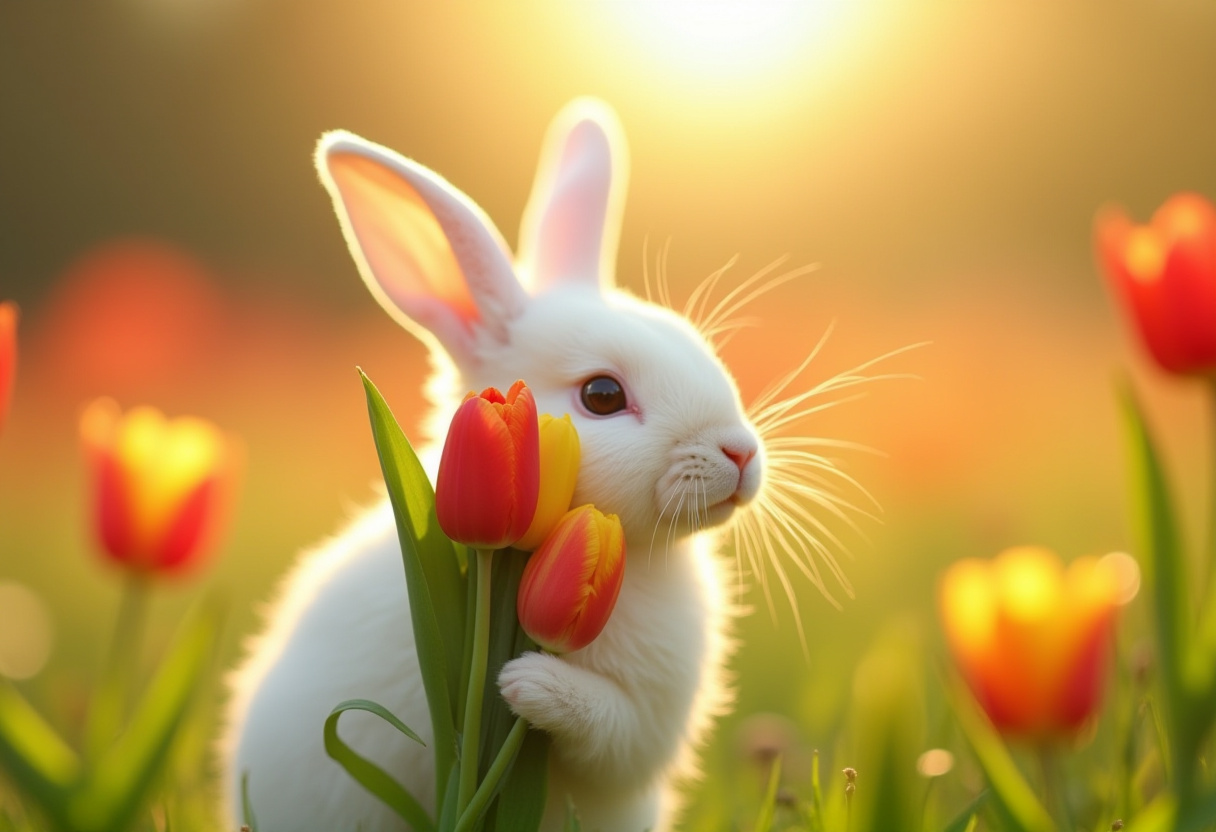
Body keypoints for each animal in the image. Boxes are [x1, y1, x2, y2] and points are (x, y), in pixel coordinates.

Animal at [220, 97, 837, 832]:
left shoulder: (644, 728)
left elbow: (609, 729)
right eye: (602, 395)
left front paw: (529, 688)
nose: (739, 452)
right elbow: (596, 726)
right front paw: (524, 684)